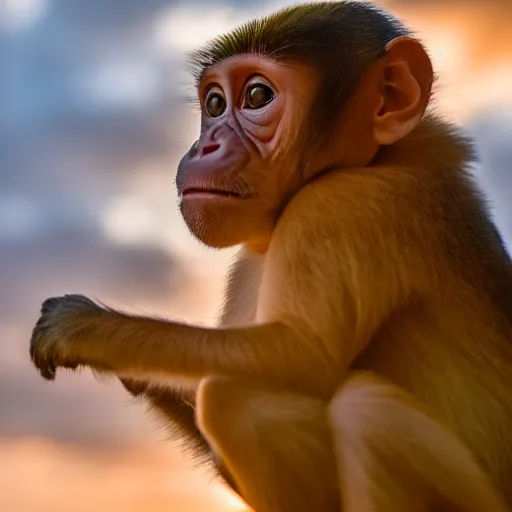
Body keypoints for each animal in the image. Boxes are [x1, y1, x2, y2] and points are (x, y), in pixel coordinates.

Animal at [28, 3, 512, 512]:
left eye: (257, 96)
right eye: (214, 104)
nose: (204, 146)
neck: (384, 155)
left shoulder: (341, 202)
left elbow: (300, 355)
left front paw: (83, 329)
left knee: (335, 407)